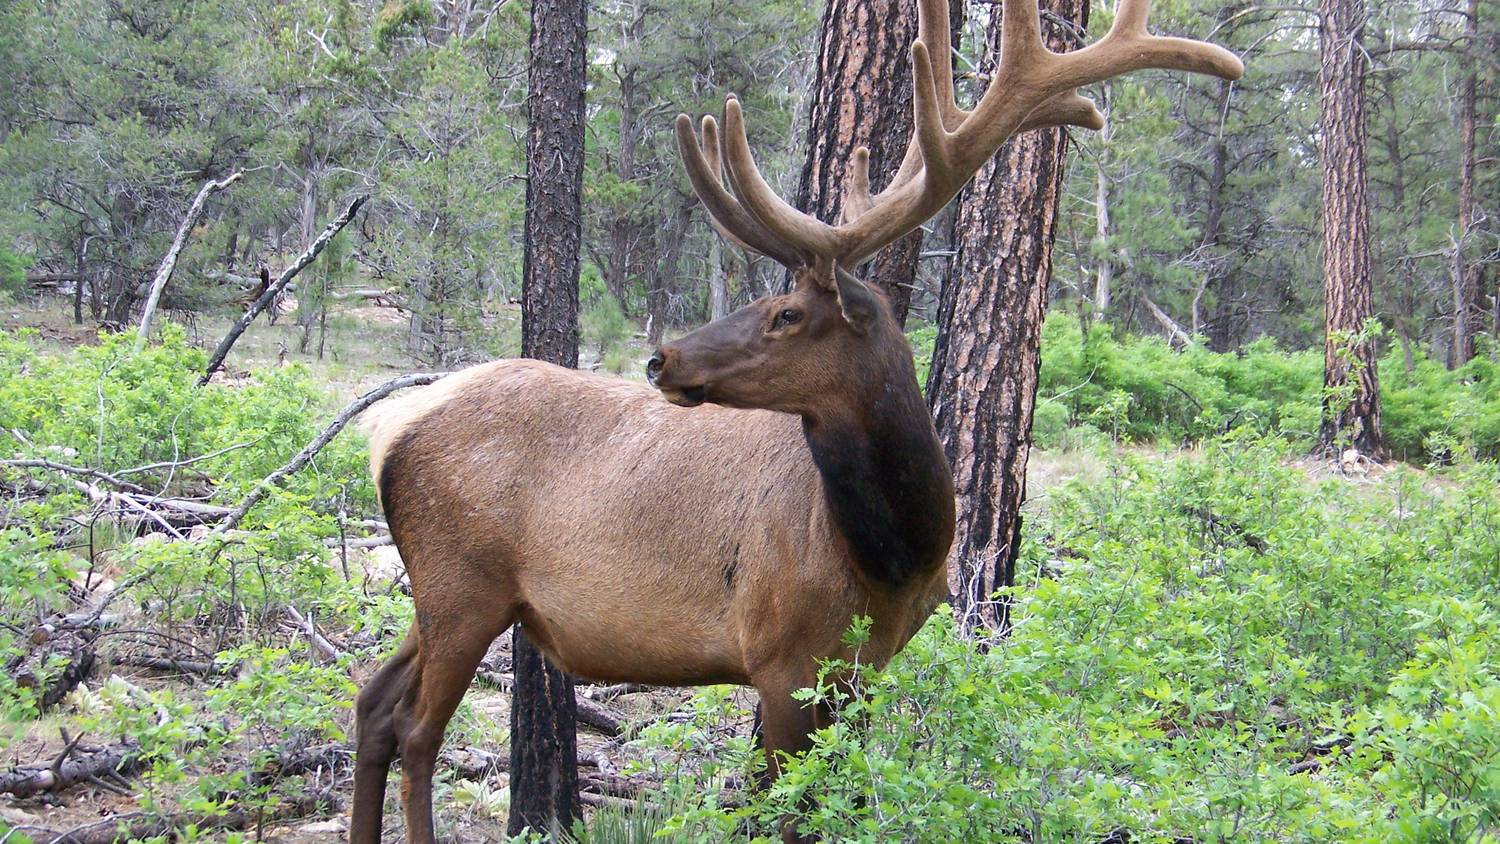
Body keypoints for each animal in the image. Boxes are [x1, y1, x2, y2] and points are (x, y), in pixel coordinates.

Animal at [351, 1, 1242, 839]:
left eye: (786, 313)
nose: (662, 360)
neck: (896, 556)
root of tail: (386, 431)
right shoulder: (781, 660)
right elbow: (786, 811)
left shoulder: (867, 666)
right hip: (462, 583)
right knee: (419, 730)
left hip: (444, 596)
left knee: (373, 703)